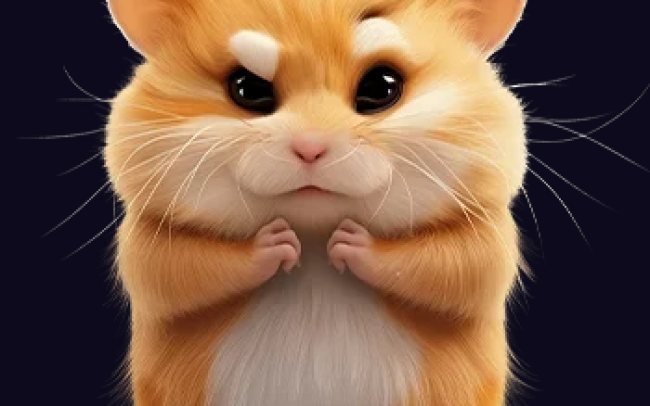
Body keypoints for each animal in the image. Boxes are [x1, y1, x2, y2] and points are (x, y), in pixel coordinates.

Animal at [105, 0, 528, 405]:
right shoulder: (150, 239)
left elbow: (460, 268)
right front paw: (279, 241)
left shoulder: (484, 234)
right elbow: (173, 271)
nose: (310, 148)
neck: (313, 230)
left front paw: (347, 240)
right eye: (246, 88)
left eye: (381, 87)